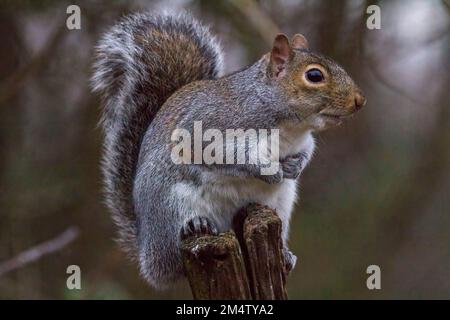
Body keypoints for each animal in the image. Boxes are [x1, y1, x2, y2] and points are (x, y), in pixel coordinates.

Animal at [91, 12, 366, 288]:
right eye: (315, 76)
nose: (359, 101)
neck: (289, 127)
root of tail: (147, 254)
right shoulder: (210, 130)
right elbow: (232, 156)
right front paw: (270, 171)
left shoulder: (304, 141)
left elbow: (306, 152)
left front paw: (294, 167)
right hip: (169, 203)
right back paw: (195, 224)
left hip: (281, 204)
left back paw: (285, 254)